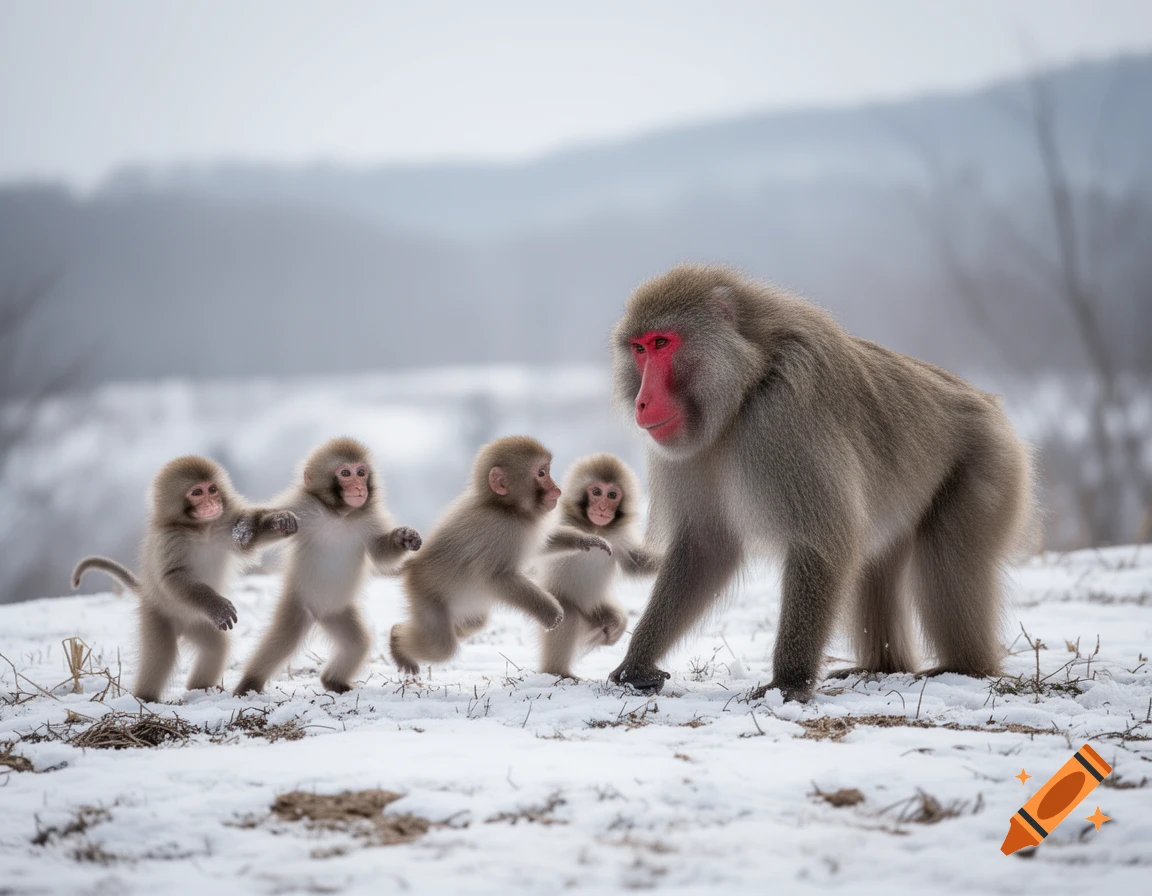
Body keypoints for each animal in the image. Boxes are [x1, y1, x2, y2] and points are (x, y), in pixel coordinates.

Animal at [72, 455, 299, 702]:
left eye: (212, 489)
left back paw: (201, 688)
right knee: (161, 655)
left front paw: (280, 520)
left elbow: (245, 541)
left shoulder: (224, 521)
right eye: (197, 493)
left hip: (200, 622)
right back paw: (145, 698)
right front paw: (217, 605)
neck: (201, 528)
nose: (212, 503)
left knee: (216, 647)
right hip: (158, 614)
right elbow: (172, 577)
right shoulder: (169, 540)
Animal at [234, 438, 422, 695]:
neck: (339, 514)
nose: (359, 487)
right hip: (297, 605)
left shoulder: (369, 517)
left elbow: (381, 554)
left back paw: (333, 681)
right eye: (345, 473)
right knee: (280, 642)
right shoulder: (303, 504)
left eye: (361, 472)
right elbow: (266, 520)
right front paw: (277, 521)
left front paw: (405, 537)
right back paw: (248, 686)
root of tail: (318, 615)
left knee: (357, 642)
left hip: (338, 613)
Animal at [389, 435, 602, 676]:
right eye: (541, 473)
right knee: (440, 646)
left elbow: (543, 545)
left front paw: (586, 541)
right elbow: (496, 578)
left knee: (473, 624)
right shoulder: (502, 532)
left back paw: (399, 633)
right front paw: (551, 613)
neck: (504, 508)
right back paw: (396, 642)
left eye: (547, 470)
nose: (556, 489)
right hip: (424, 596)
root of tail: (413, 566)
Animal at [536, 453, 661, 679]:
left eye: (612, 495)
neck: (595, 528)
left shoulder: (619, 537)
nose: (602, 508)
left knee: (617, 620)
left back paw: (609, 629)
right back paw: (558, 672)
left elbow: (634, 564)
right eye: (596, 492)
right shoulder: (560, 521)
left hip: (595, 609)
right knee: (569, 618)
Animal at [607, 264, 1034, 701]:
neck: (746, 386)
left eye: (662, 343)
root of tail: (990, 405)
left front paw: (789, 682)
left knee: (946, 560)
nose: (642, 402)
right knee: (877, 561)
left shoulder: (784, 417)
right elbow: (706, 547)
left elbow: (822, 542)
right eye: (639, 350)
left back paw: (964, 666)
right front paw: (636, 665)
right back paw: (881, 666)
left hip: (988, 465)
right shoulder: (687, 450)